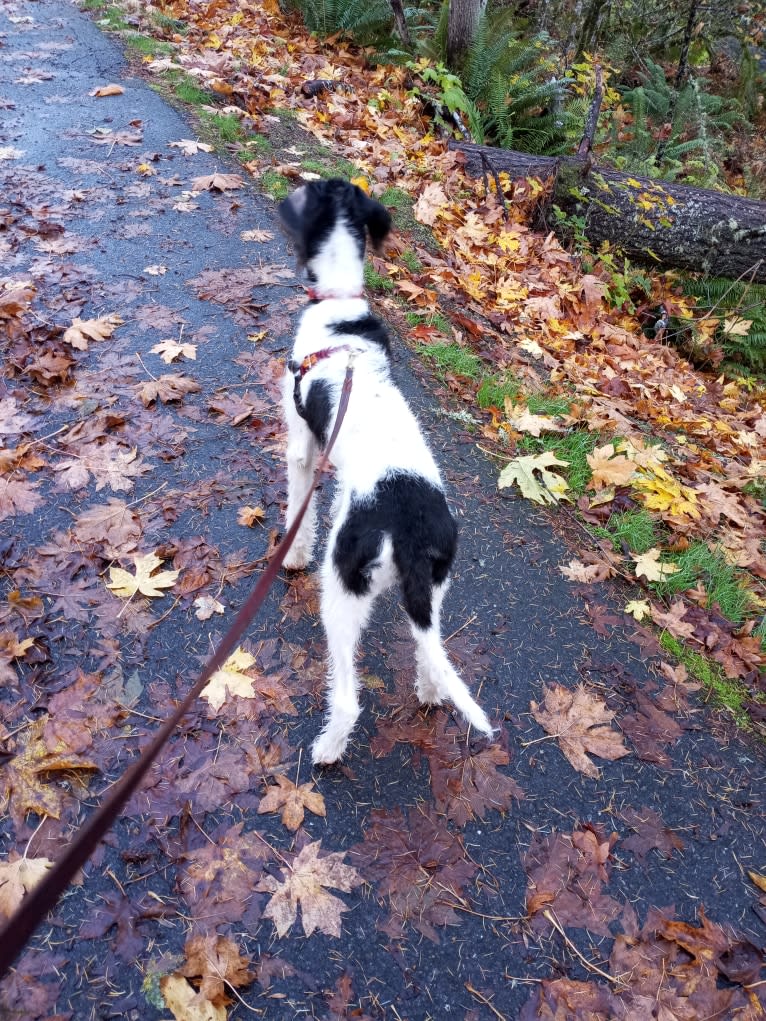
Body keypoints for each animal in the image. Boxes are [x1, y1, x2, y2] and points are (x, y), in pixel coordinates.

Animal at [279, 179, 494, 763]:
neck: (342, 314)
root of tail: (411, 531)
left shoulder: (302, 445)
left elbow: (298, 514)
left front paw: (291, 556)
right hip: (435, 590)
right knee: (432, 659)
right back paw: (428, 694)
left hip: (342, 591)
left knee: (348, 696)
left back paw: (328, 748)